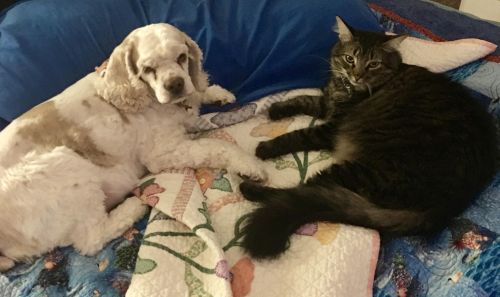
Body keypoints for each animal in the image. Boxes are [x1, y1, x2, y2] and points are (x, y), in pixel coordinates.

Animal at [0, 23, 266, 270]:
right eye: (148, 69)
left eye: (181, 57)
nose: (175, 84)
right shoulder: (163, 152)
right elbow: (216, 145)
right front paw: (250, 165)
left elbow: (198, 93)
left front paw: (215, 93)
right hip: (65, 166)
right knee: (91, 239)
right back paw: (134, 205)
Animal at [240, 16, 498, 258]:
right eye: (350, 59)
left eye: (373, 64)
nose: (356, 75)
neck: (346, 89)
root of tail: (448, 207)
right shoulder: (326, 104)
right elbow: (303, 99)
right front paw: (276, 110)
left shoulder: (331, 127)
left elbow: (296, 135)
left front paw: (265, 148)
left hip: (364, 169)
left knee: (301, 190)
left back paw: (250, 188)